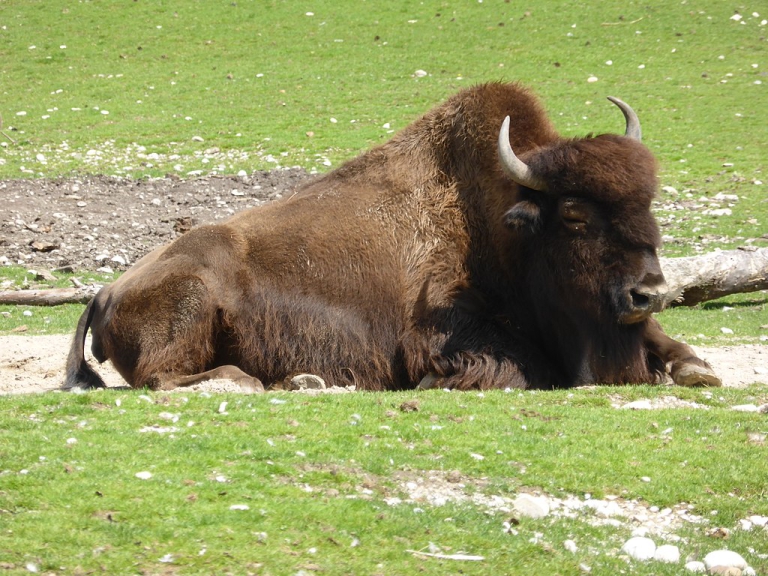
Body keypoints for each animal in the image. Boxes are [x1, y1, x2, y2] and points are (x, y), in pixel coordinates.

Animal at [64, 82, 721, 392]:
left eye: (648, 205)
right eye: (576, 217)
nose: (648, 292)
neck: (500, 228)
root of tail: (106, 290)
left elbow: (675, 350)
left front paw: (696, 368)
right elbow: (508, 368)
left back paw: (302, 381)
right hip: (192, 304)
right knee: (168, 376)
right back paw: (265, 382)